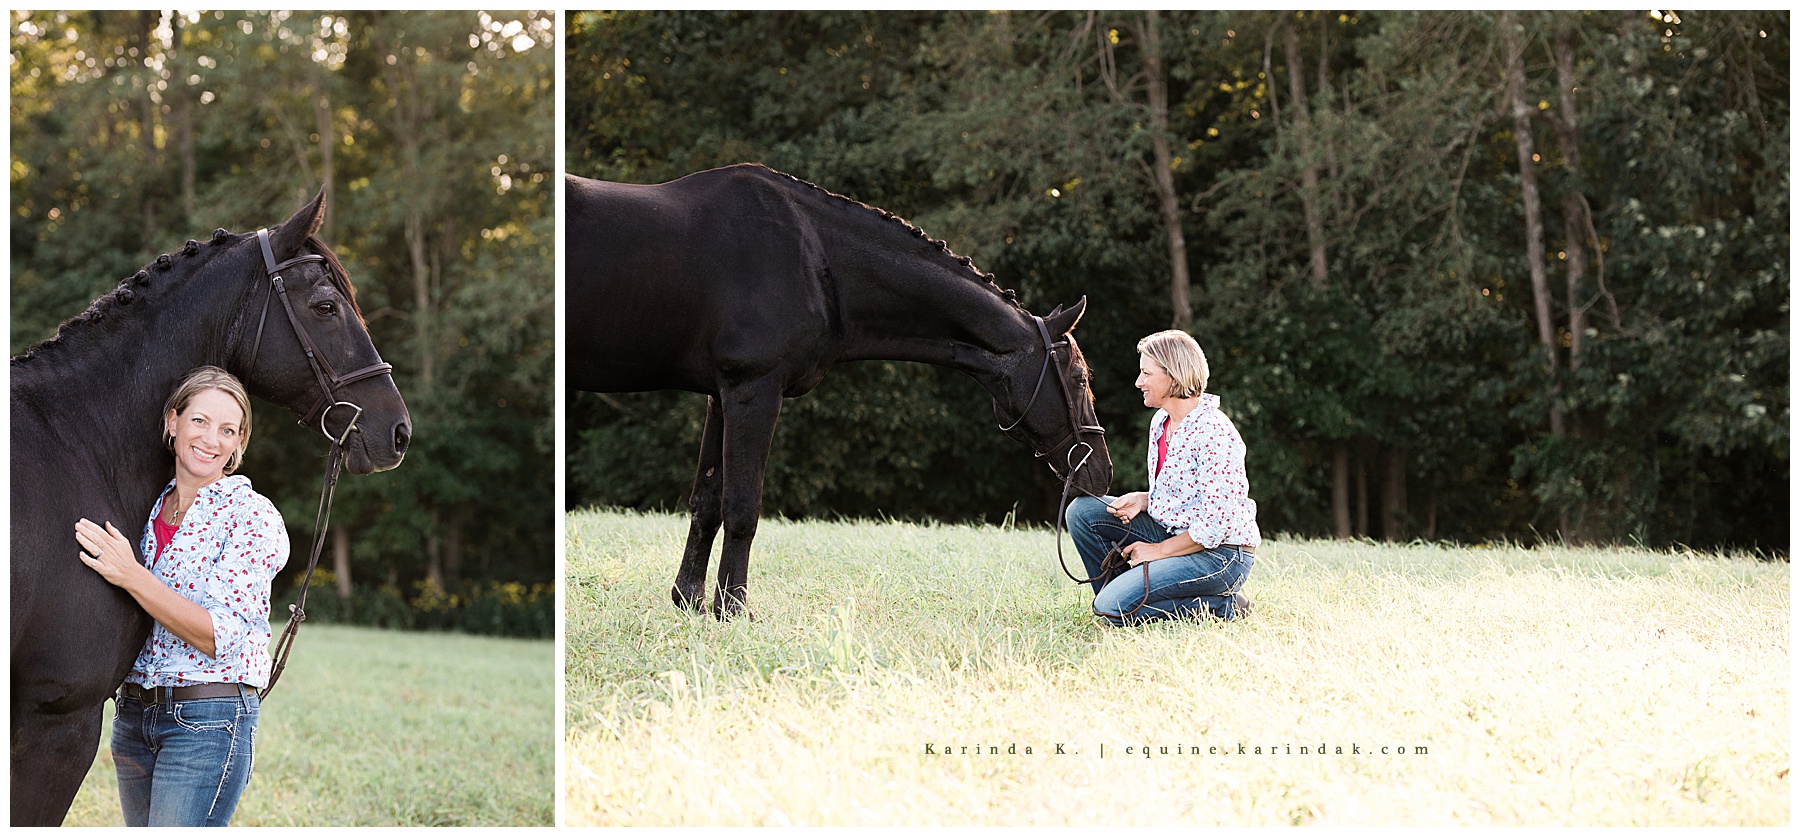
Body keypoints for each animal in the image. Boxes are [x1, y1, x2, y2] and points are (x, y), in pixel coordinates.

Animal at [566, 163, 1113, 619]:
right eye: (1081, 379)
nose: (1102, 475)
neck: (815, 260)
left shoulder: (721, 395)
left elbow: (707, 501)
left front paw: (690, 601)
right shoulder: (753, 389)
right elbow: (742, 507)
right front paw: (732, 610)